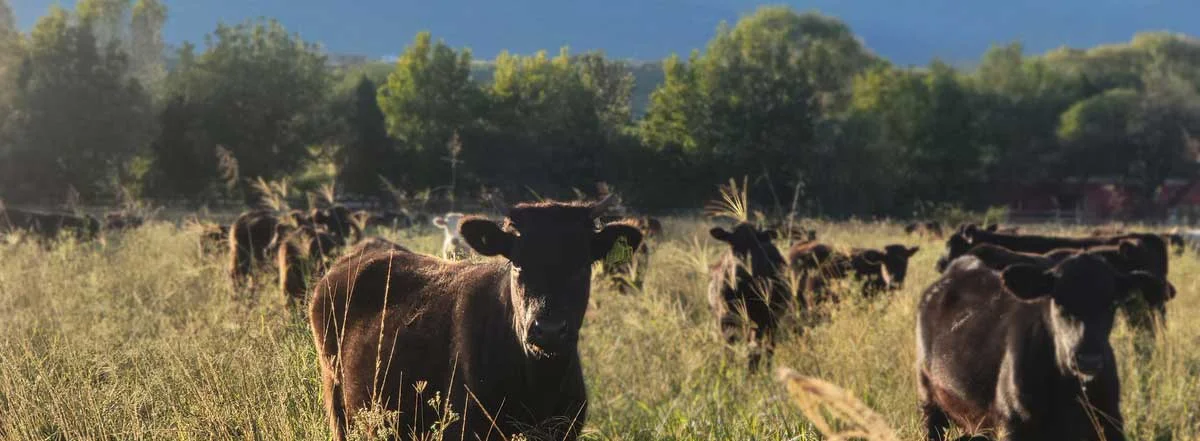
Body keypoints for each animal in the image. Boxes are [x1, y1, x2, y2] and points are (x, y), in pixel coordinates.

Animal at [708, 223, 791, 370]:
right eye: (731, 244)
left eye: (756, 246)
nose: (741, 274)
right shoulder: (725, 318)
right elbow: (728, 349)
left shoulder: (761, 319)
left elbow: (754, 352)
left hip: (772, 322)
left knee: (768, 347)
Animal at [916, 252, 1169, 441]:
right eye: (1058, 301)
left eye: (1111, 304)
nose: (1088, 359)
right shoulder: (1013, 426)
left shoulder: (1110, 424)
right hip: (929, 401)